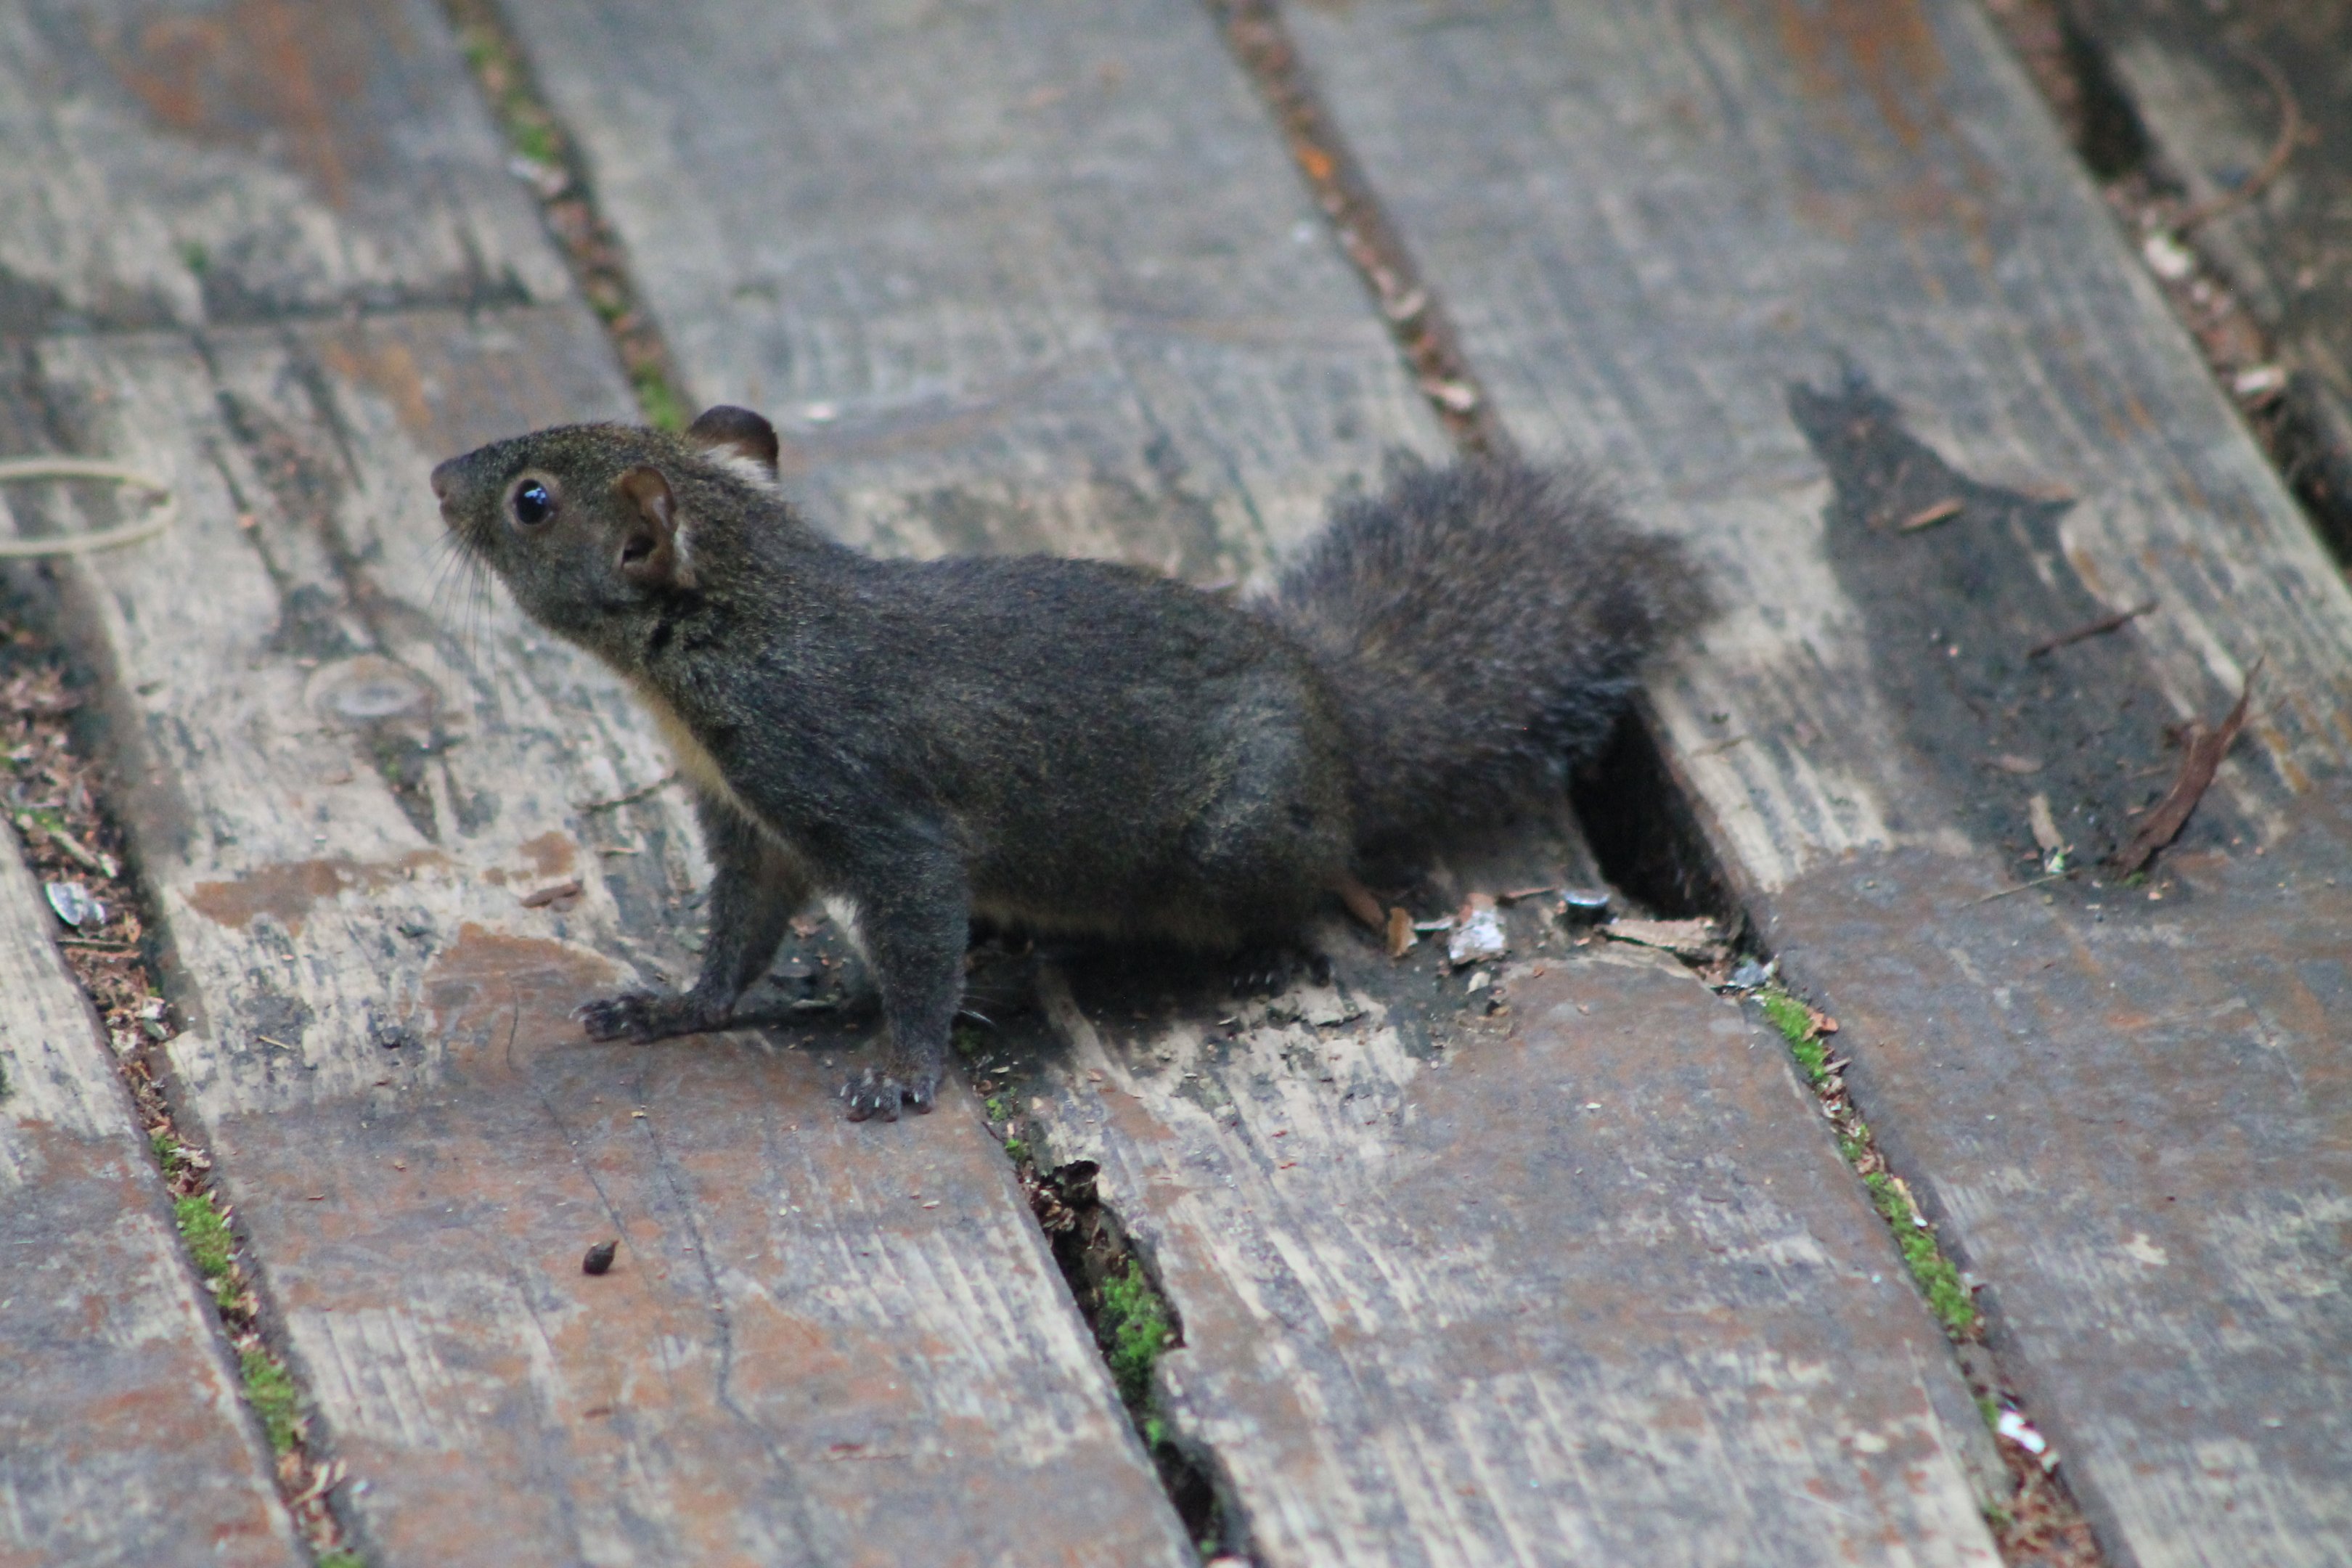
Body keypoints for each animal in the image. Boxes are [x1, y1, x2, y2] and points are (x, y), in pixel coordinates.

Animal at [431, 406, 1705, 1120]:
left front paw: (901, 1071)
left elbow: (914, 937)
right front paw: (670, 1008)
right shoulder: (751, 823)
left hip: (1235, 839)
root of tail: (1340, 720)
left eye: (532, 501)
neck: (741, 625)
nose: (440, 478)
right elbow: (736, 940)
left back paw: (1248, 954)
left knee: (1309, 879)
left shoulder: (863, 798)